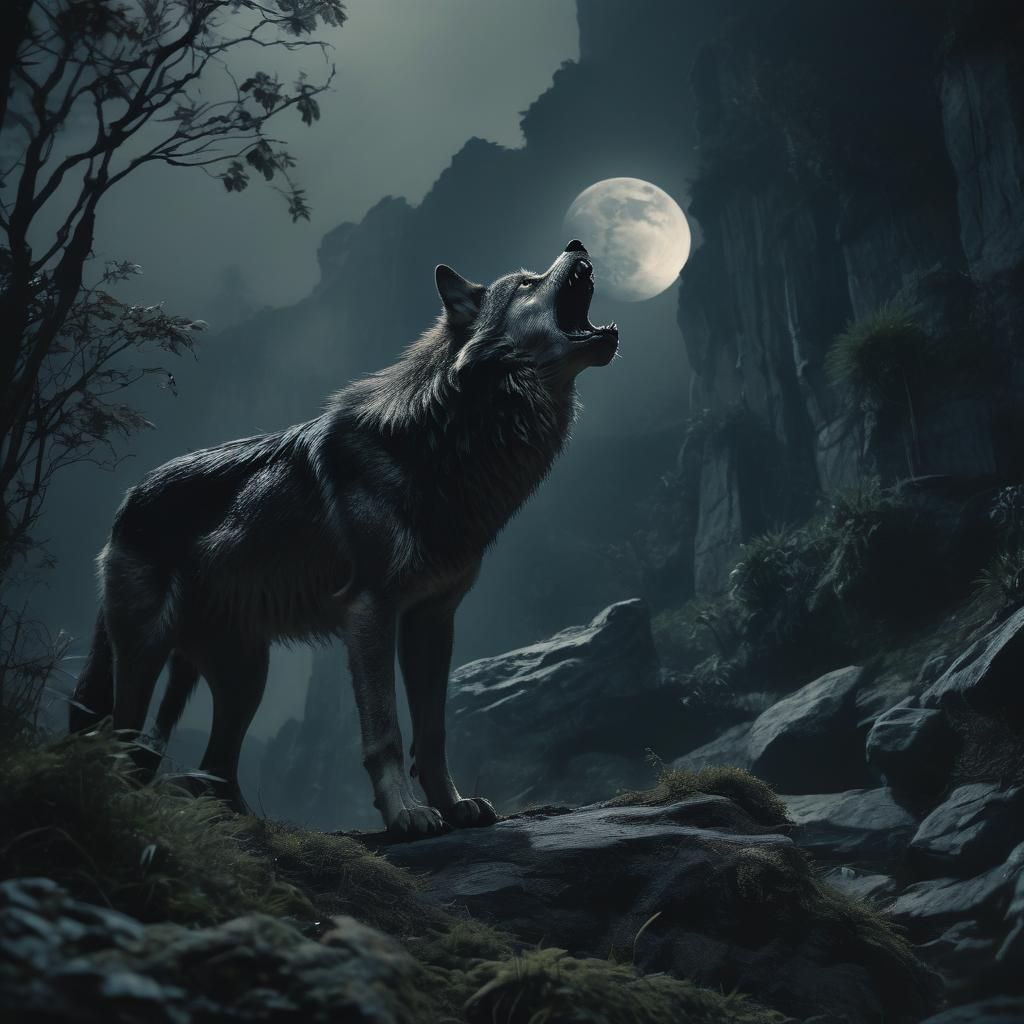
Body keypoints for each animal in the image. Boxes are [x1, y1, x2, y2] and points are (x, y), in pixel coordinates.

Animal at [70, 239, 619, 837]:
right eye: (525, 283)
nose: (577, 244)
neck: (445, 441)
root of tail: (129, 499)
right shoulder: (370, 610)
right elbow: (386, 732)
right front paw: (406, 814)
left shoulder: (433, 619)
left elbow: (433, 732)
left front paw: (453, 806)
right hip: (144, 661)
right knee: (126, 746)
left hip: (245, 677)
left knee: (213, 769)